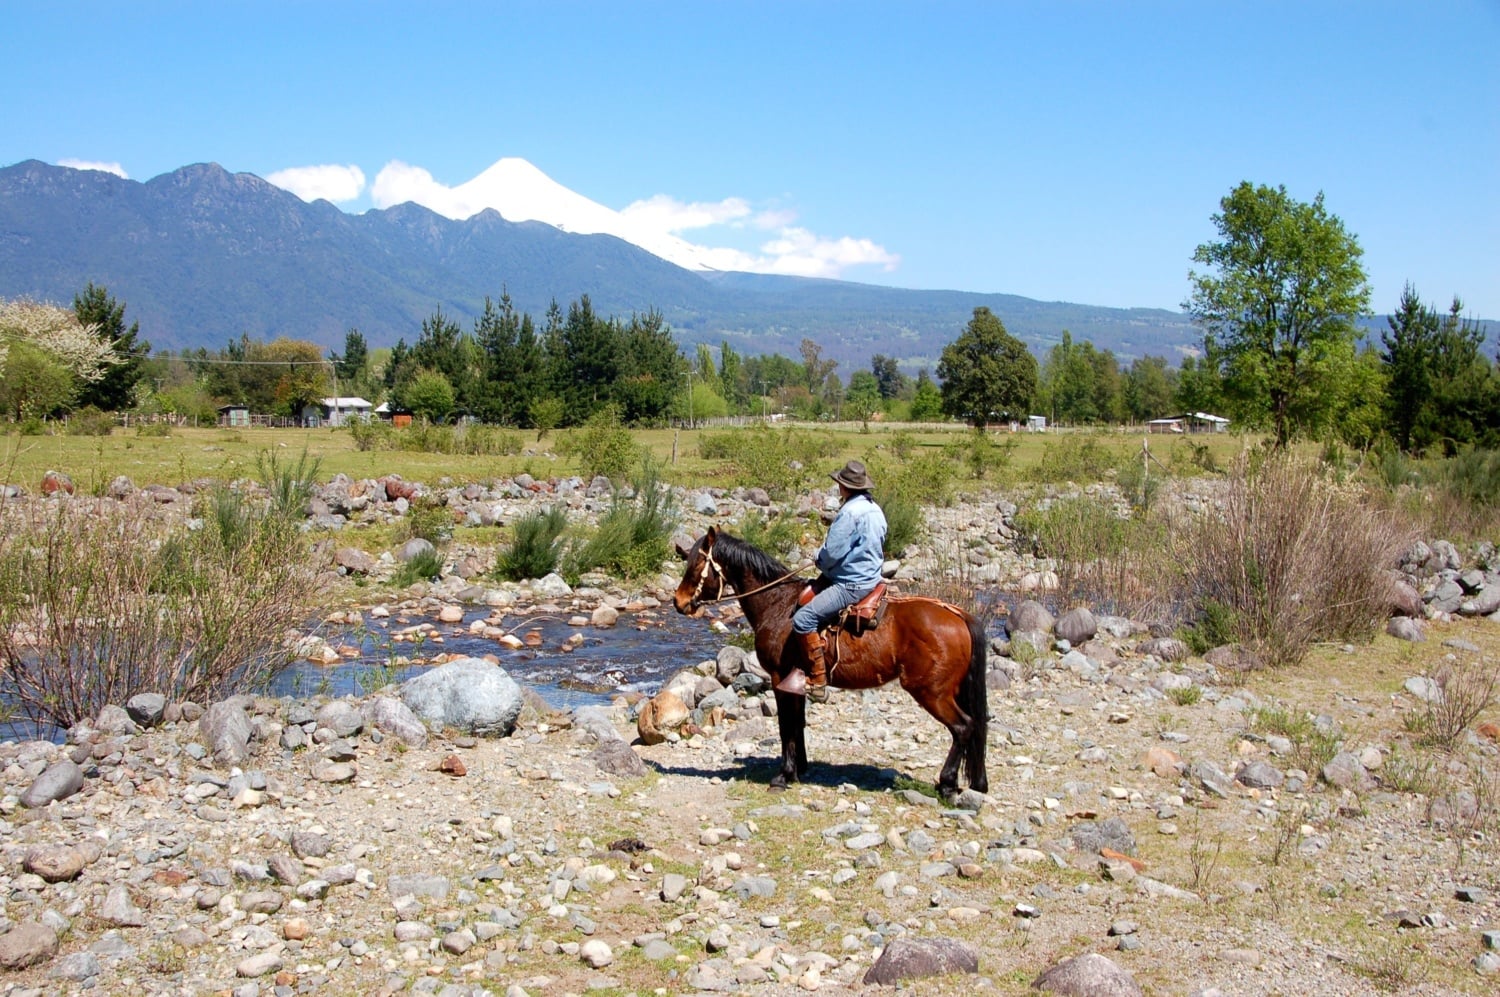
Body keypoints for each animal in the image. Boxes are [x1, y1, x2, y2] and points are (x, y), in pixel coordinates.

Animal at [673, 527, 989, 800]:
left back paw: (947, 784)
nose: (678, 602)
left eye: (696, 564)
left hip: (932, 693)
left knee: (963, 727)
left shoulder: (779, 678)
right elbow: (797, 723)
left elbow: (786, 725)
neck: (776, 604)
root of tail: (959, 614)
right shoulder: (796, 682)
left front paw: (784, 775)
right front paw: (799, 769)